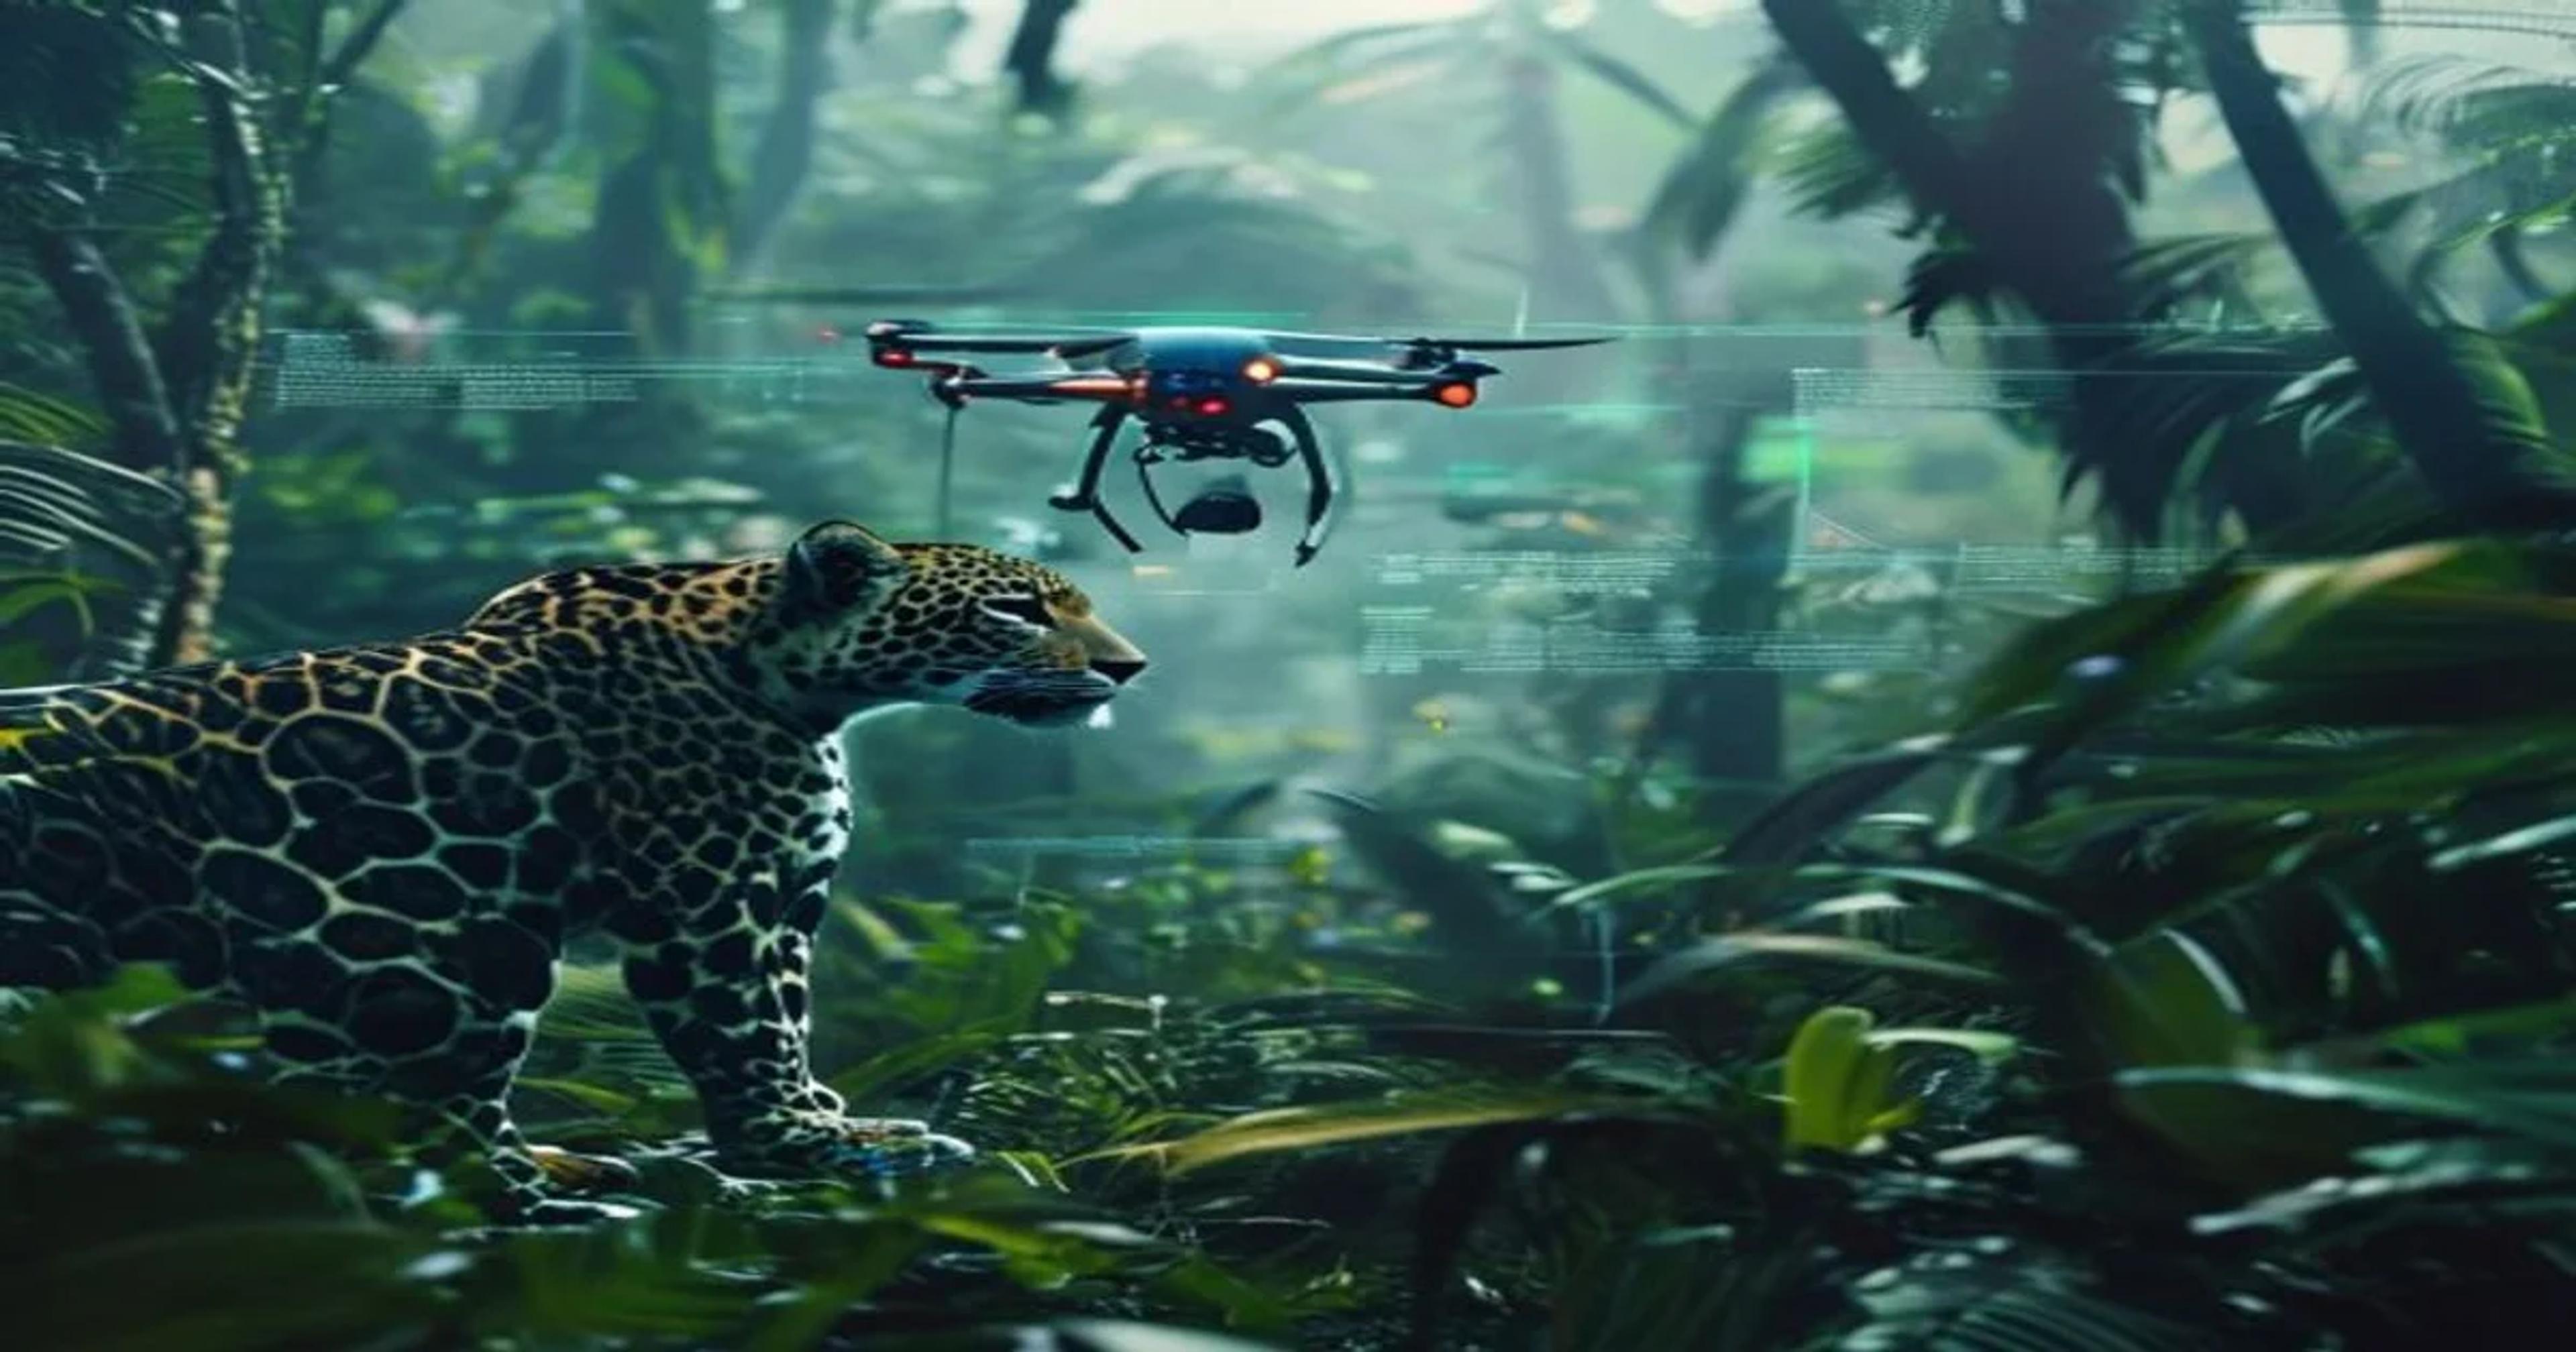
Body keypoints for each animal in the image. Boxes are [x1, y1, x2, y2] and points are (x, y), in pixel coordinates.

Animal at [0, 520, 1147, 1221]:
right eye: (1016, 610)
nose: (1129, 667)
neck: (794, 681)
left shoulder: (781, 903)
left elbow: (788, 1024)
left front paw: (827, 1122)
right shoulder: (712, 910)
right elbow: (749, 1039)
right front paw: (799, 1144)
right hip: (455, 945)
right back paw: (558, 1200)